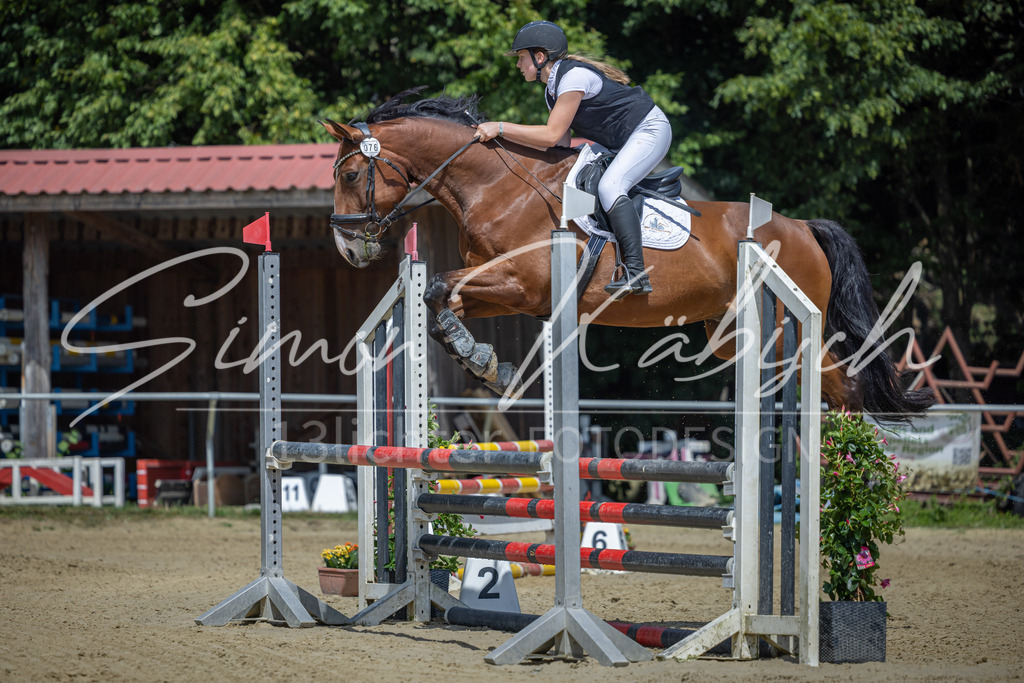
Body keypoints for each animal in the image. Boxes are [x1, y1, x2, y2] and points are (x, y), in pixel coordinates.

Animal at [320, 89, 933, 421]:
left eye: (350, 175)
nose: (347, 248)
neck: (497, 187)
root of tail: (802, 227)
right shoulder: (506, 290)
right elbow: (438, 296)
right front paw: (486, 362)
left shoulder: (524, 283)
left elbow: (438, 287)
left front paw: (484, 362)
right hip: (734, 336)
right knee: (828, 384)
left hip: (792, 330)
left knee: (844, 386)